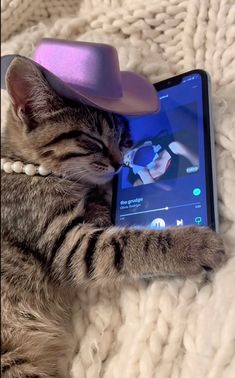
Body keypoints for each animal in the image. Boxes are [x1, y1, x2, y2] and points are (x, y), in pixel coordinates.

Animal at [0, 56, 225, 378]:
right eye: (94, 141)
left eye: (122, 139)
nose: (120, 164)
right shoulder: (66, 243)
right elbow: (128, 244)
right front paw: (194, 244)